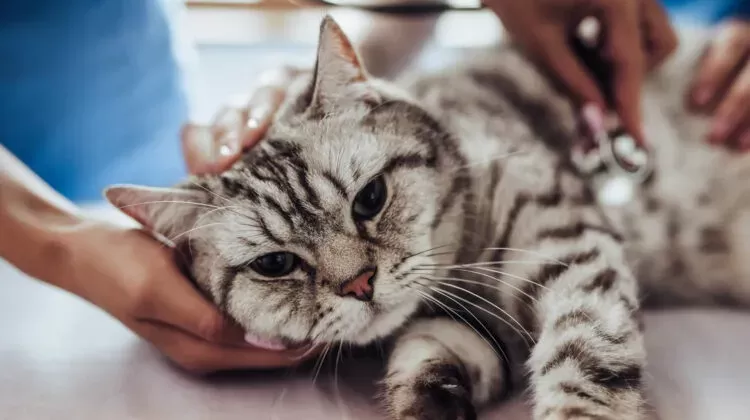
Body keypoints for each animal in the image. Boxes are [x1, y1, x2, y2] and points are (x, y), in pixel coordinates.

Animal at [106, 14, 750, 420]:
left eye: (370, 198)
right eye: (276, 264)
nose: (360, 285)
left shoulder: (572, 252)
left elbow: (584, 360)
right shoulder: (462, 330)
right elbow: (424, 365)